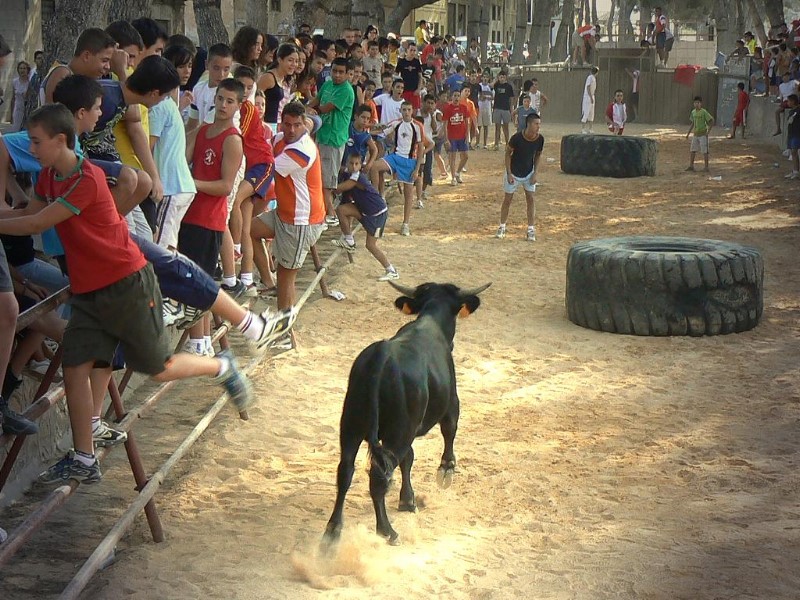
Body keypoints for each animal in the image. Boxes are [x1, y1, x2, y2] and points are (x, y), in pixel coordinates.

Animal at [323, 281, 491, 546]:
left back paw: (333, 530)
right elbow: (449, 431)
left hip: (351, 426)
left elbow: (408, 459)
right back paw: (387, 531)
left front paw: (407, 499)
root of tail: (381, 355)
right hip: (396, 432)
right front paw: (446, 469)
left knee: (345, 471)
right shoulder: (450, 403)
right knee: (378, 478)